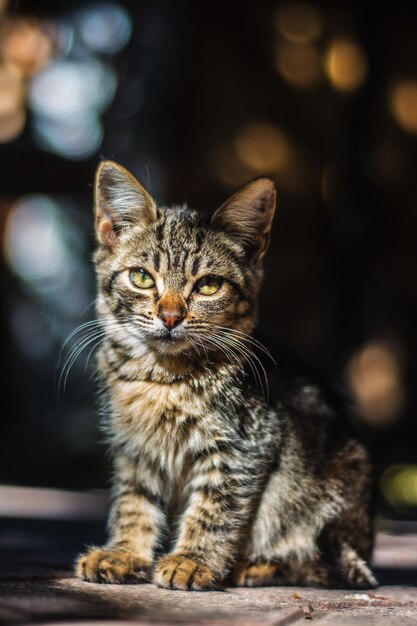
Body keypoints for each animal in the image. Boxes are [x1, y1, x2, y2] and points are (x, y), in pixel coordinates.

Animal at [75, 158, 376, 588]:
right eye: (142, 277)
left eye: (208, 286)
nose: (170, 316)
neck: (163, 377)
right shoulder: (135, 449)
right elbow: (134, 502)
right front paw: (125, 552)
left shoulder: (244, 445)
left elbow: (215, 508)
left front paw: (193, 560)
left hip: (337, 484)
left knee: (320, 564)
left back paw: (255, 566)